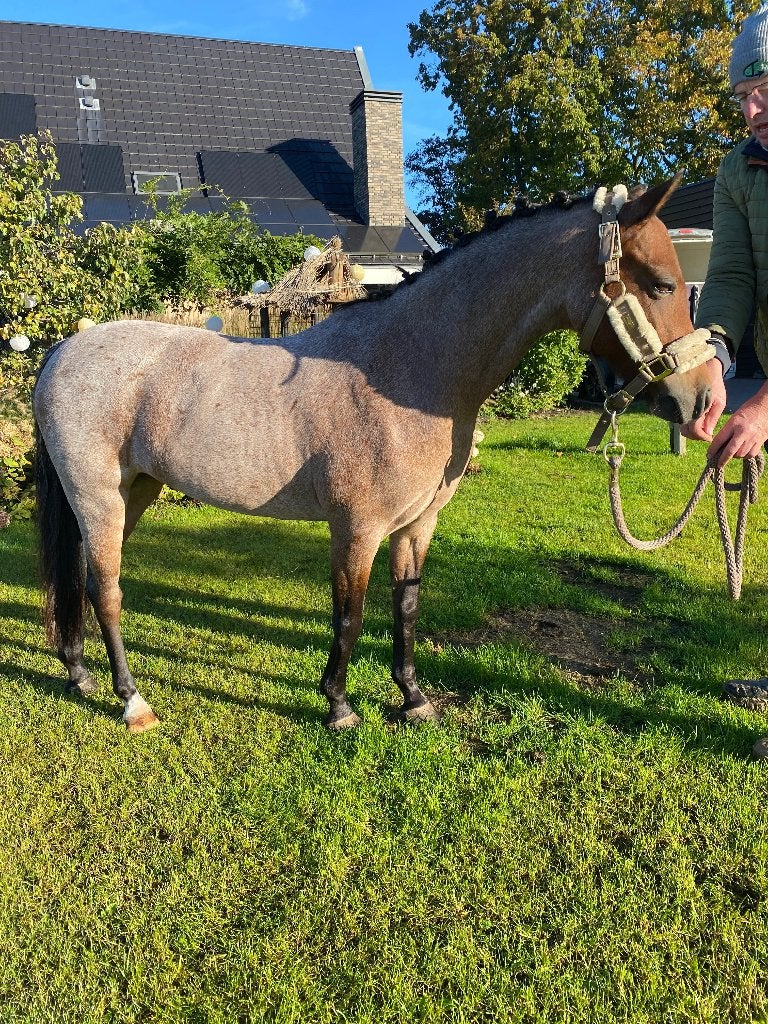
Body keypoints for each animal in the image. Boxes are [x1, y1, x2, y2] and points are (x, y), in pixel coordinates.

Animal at [33, 178, 714, 733]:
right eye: (661, 284)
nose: (705, 396)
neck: (408, 369)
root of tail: (63, 350)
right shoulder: (356, 530)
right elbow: (350, 615)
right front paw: (339, 706)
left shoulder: (416, 526)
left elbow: (405, 607)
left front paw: (413, 699)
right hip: (98, 497)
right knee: (107, 589)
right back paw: (131, 700)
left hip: (135, 490)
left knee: (86, 580)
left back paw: (79, 674)